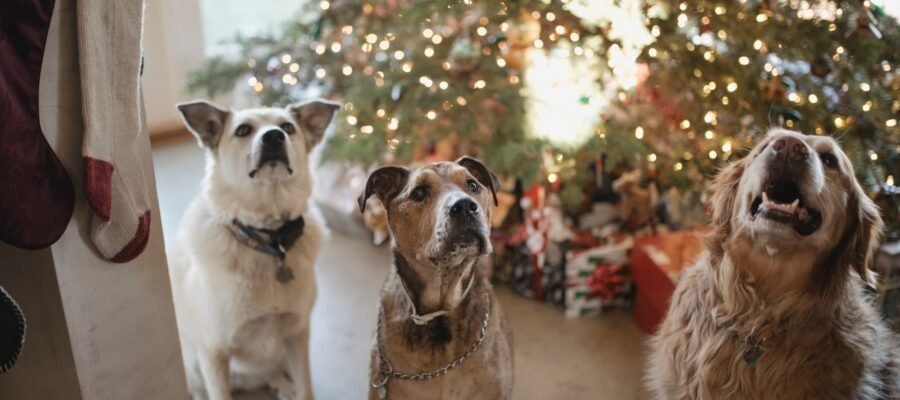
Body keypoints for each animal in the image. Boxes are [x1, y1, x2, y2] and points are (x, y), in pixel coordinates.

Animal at [169, 99, 338, 400]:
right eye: (243, 130)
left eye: (288, 127)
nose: (274, 137)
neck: (268, 241)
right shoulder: (214, 352)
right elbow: (219, 394)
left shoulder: (297, 334)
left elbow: (306, 388)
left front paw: (297, 389)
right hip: (194, 365)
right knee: (201, 390)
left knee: (270, 372)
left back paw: (283, 386)